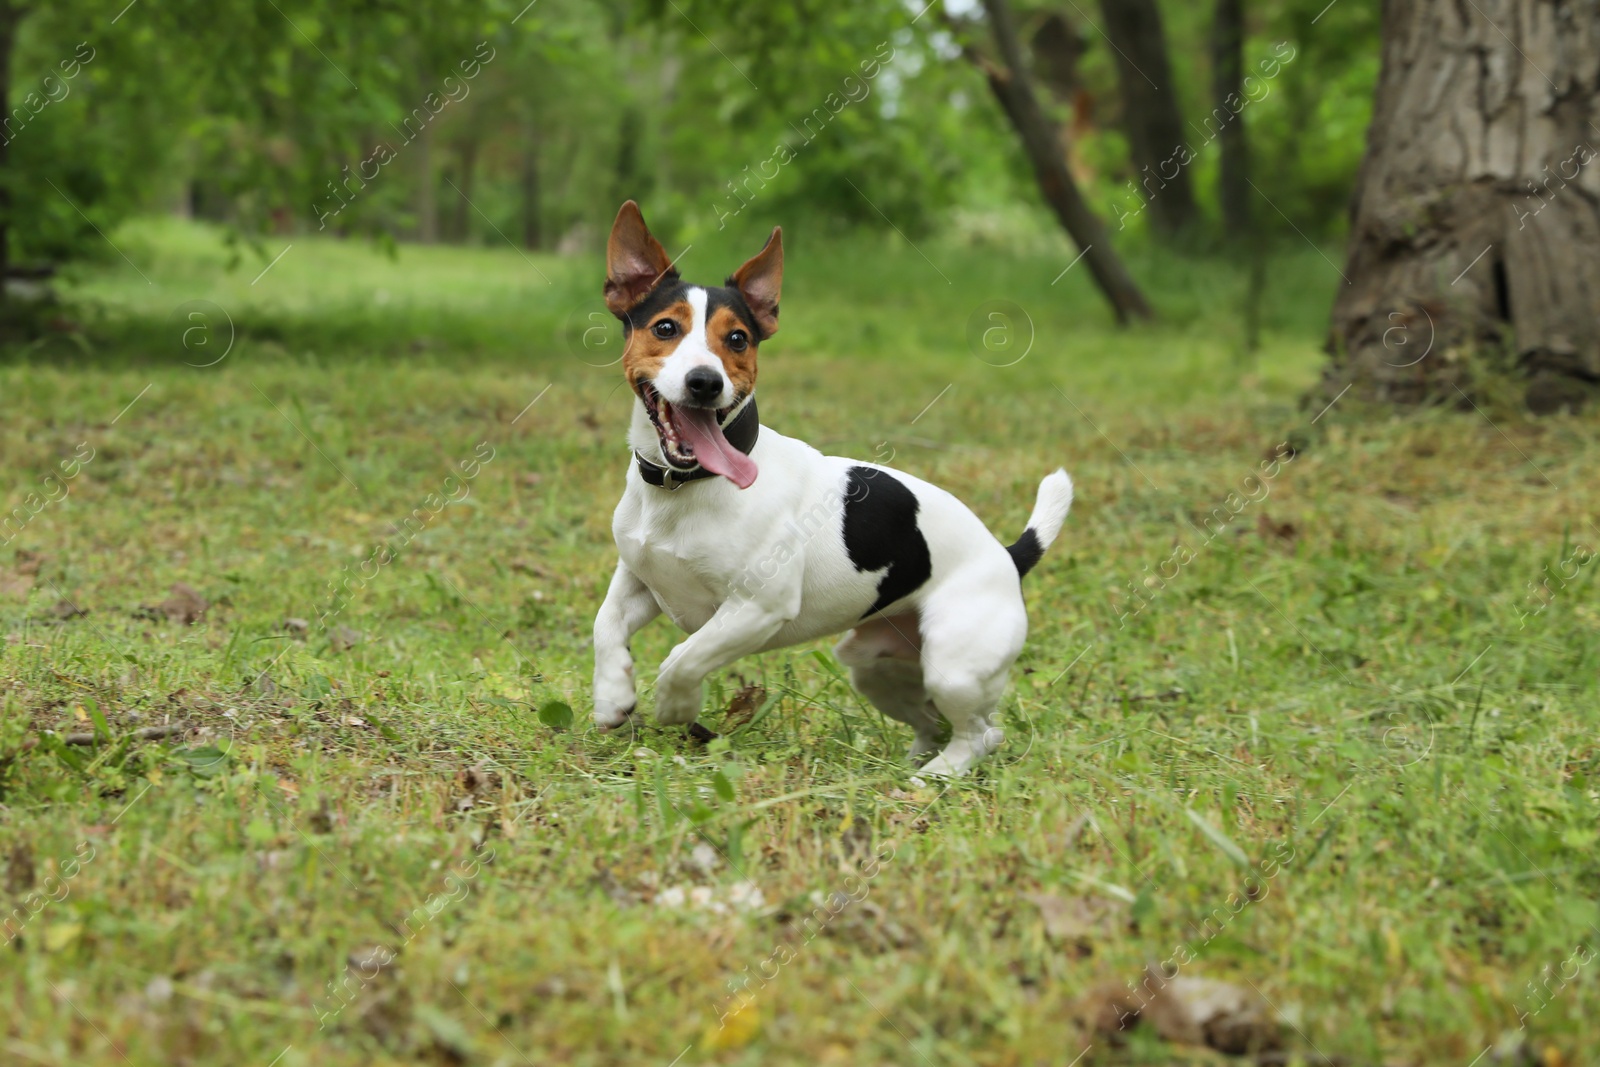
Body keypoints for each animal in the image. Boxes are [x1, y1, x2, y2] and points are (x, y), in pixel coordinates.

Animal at [592, 198, 1075, 777]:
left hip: (953, 667)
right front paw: (612, 695)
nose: (705, 382)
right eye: (665, 328)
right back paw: (913, 761)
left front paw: (675, 705)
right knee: (934, 722)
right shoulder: (642, 579)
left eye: (738, 339)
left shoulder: (757, 607)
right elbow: (605, 624)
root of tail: (1007, 555)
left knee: (980, 733)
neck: (682, 489)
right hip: (875, 665)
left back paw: (937, 775)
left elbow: (682, 660)